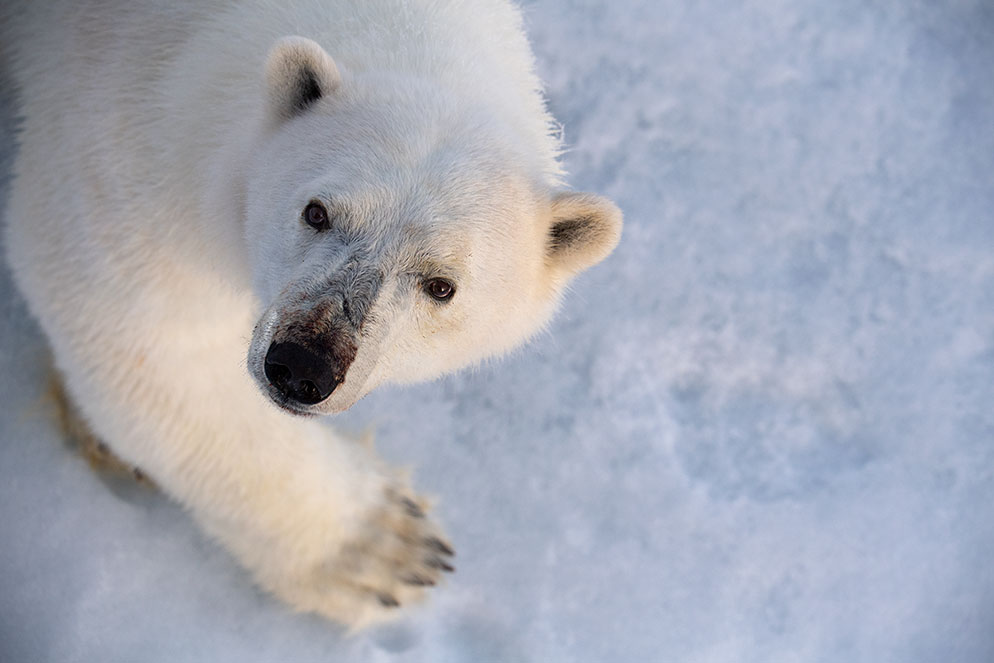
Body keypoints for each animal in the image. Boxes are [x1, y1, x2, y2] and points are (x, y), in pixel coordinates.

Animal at [1, 0, 620, 628]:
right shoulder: (123, 149)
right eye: (316, 211)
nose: (304, 365)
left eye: (441, 286)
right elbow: (150, 342)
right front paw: (388, 547)